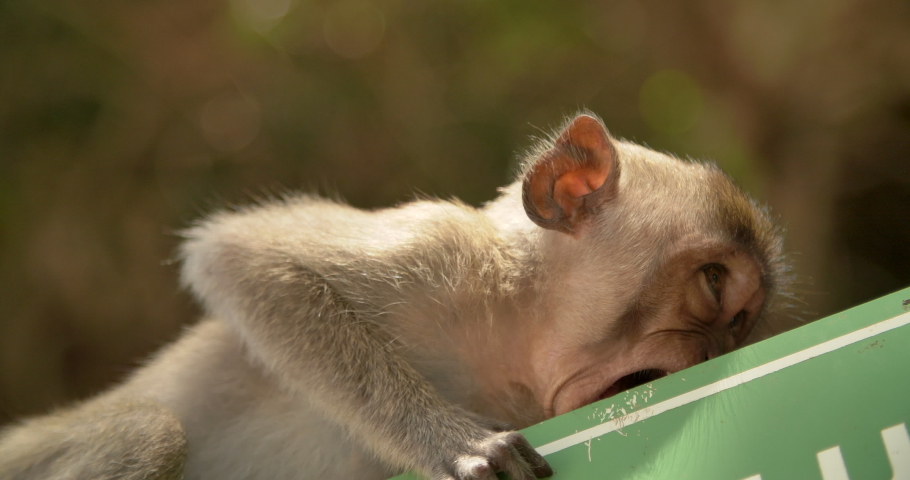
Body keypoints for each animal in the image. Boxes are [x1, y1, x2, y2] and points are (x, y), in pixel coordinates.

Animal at [0, 113, 785, 480]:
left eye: (740, 326)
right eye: (714, 285)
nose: (712, 357)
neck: (512, 341)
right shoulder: (436, 254)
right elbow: (244, 259)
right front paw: (451, 443)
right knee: (148, 434)